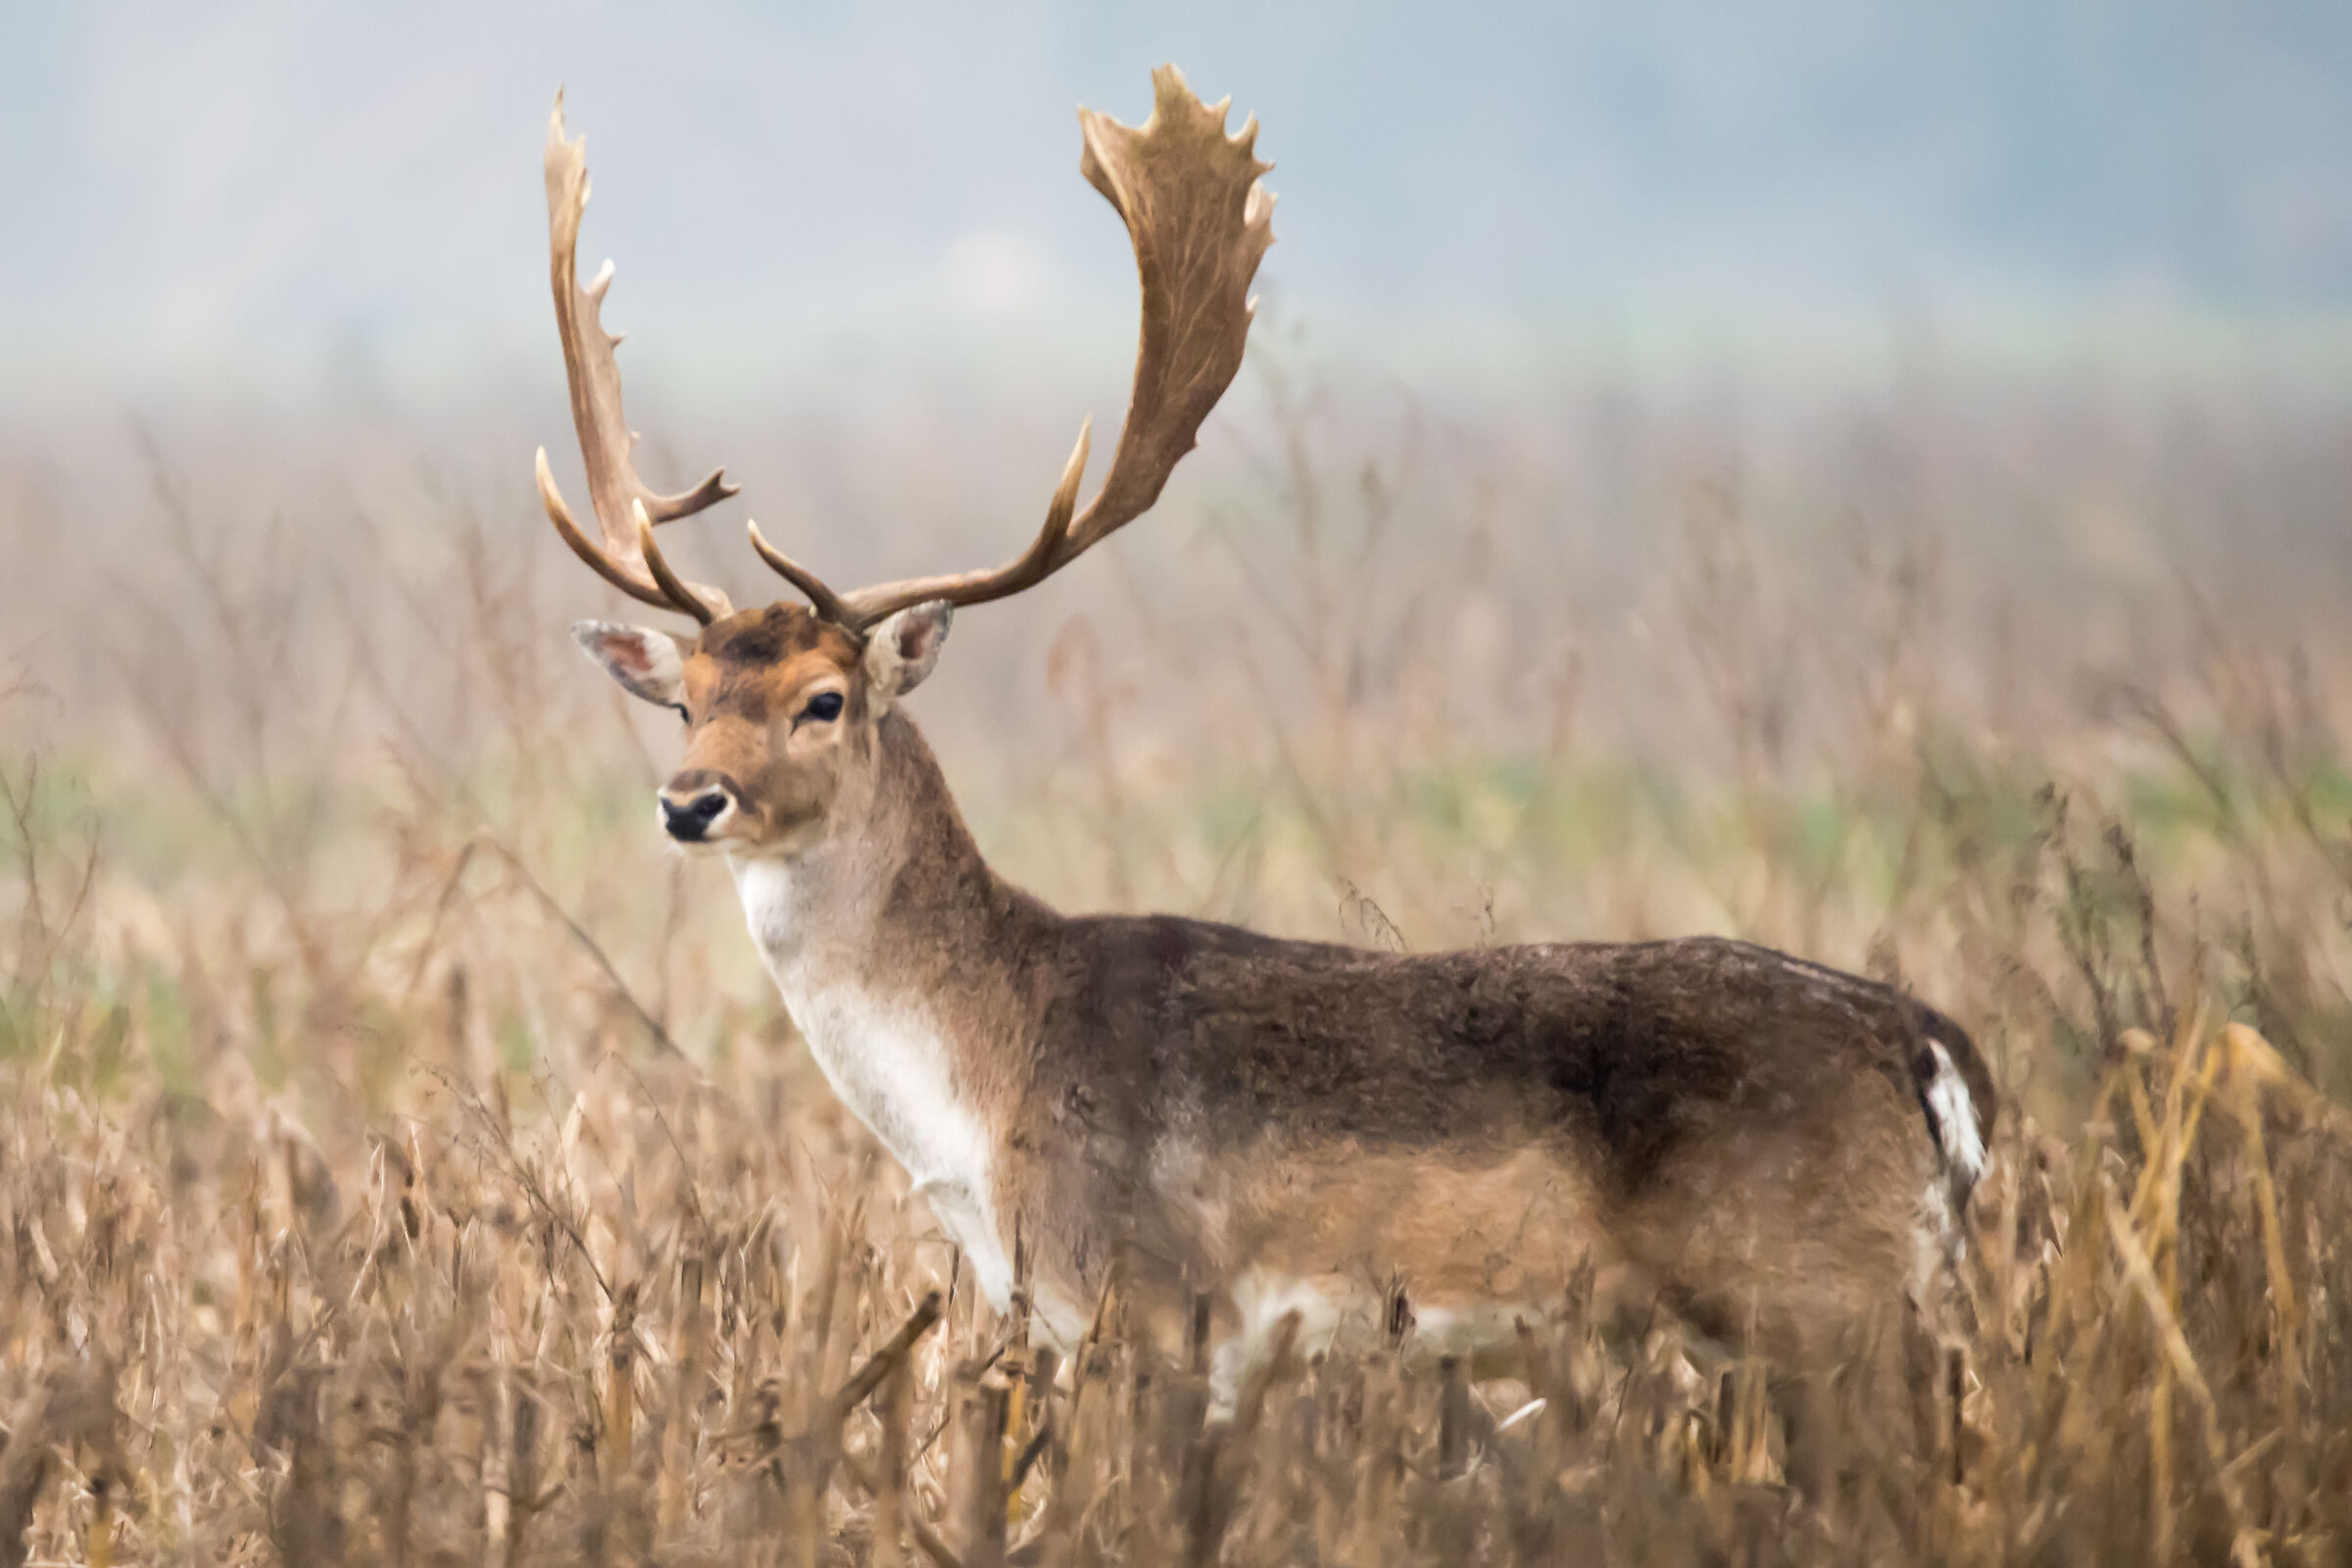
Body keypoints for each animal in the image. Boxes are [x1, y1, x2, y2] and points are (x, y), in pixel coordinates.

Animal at [535, 68, 1995, 1420]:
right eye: (685, 699)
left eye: (826, 700)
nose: (690, 801)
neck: (983, 1096)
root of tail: (1937, 1059)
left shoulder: (1151, 1303)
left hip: (1822, 1302)